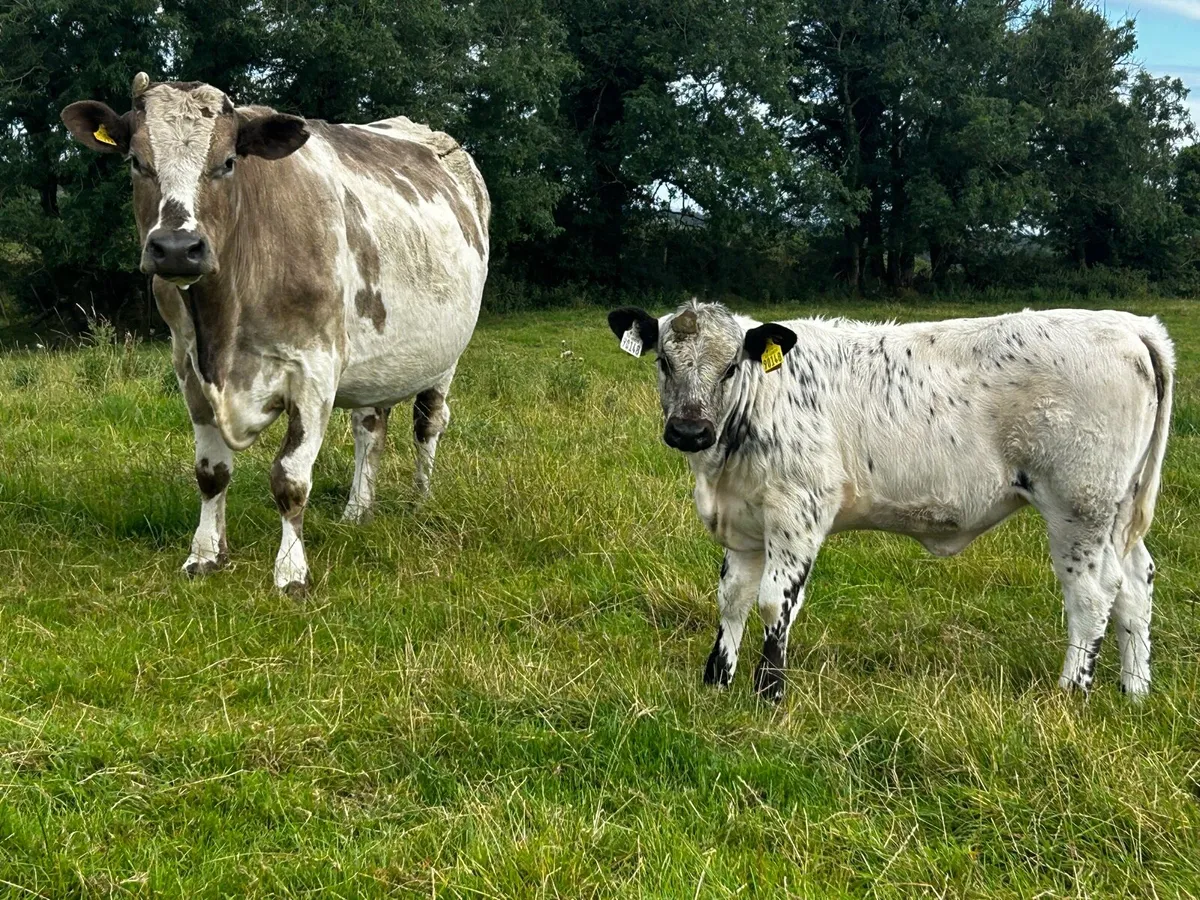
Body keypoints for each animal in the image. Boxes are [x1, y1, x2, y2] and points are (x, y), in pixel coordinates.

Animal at [62, 73, 489, 593]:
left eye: (227, 162)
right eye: (136, 162)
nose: (177, 248)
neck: (222, 330)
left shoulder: (314, 369)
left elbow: (290, 479)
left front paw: (290, 572)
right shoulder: (189, 368)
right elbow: (211, 473)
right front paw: (205, 555)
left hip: (445, 356)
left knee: (428, 423)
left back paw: (419, 501)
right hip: (379, 357)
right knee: (369, 428)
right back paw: (358, 511)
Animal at [608, 300, 1173, 701]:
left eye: (729, 367)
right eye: (664, 361)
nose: (689, 431)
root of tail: (1126, 323)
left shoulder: (799, 512)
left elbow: (773, 602)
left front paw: (768, 692)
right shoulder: (744, 519)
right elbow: (732, 599)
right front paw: (716, 680)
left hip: (1080, 504)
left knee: (1093, 594)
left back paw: (1071, 692)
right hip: (1116, 510)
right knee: (1135, 583)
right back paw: (1135, 691)